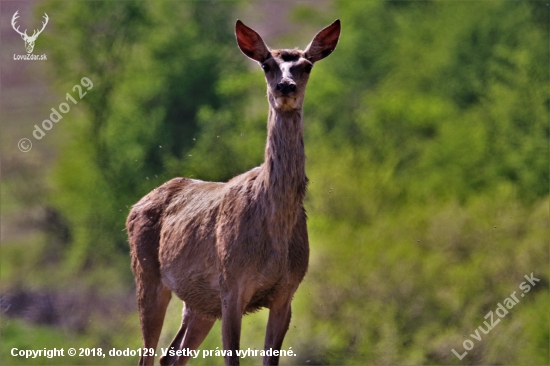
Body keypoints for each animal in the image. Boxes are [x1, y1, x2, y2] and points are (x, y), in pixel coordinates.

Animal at [127, 20, 340, 366]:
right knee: (148, 354)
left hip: (199, 303)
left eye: (306, 66)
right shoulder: (232, 285)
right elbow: (232, 357)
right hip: (147, 274)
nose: (285, 87)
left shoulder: (287, 293)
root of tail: (134, 207)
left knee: (170, 356)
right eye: (267, 65)